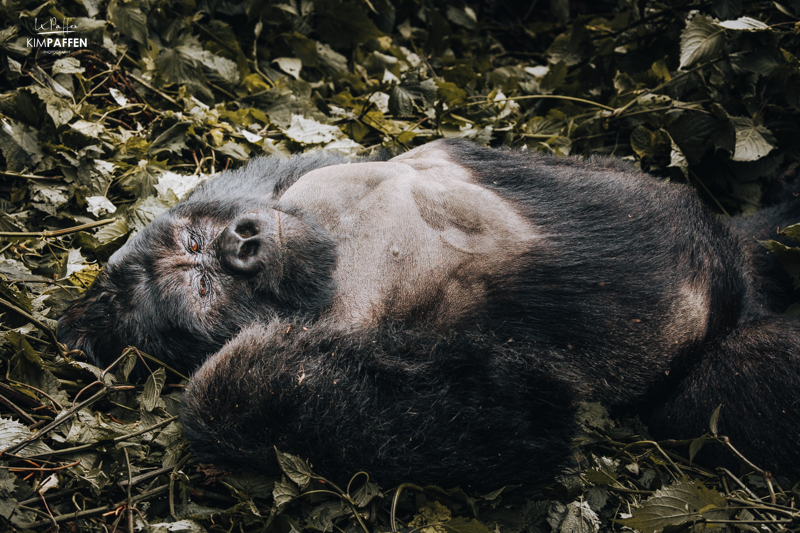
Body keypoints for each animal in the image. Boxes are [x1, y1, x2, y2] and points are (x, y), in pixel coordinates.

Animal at [59, 139, 800, 488]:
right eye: (203, 286)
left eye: (196, 245)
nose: (242, 242)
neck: (327, 252)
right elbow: (530, 417)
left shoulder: (278, 186)